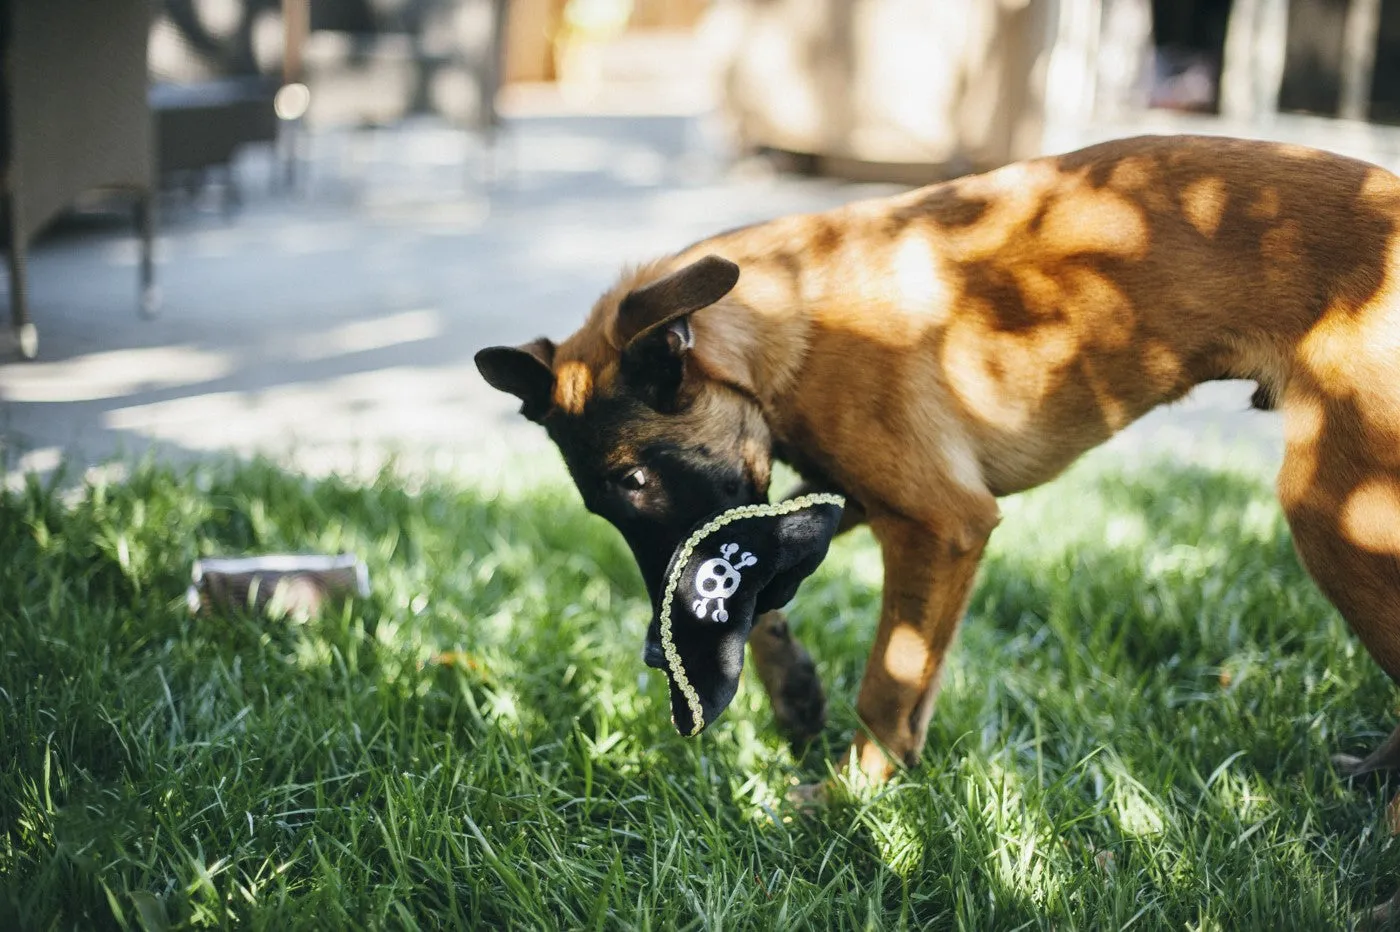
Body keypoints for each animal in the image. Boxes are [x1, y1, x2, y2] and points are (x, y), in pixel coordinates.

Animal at [476, 132, 1400, 783]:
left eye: (633, 480)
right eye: (600, 504)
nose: (651, 655)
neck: (788, 317)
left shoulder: (940, 520)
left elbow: (889, 679)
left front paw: (851, 799)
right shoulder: (847, 496)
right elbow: (777, 586)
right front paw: (800, 696)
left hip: (1339, 515)